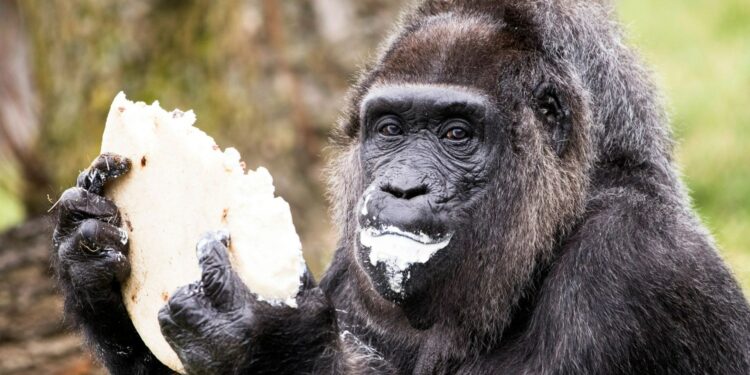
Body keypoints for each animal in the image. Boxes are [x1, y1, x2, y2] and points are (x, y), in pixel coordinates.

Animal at [51, 0, 750, 375]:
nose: (403, 187)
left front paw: (267, 339)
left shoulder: (633, 263)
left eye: (456, 133)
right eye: (390, 129)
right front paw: (88, 260)